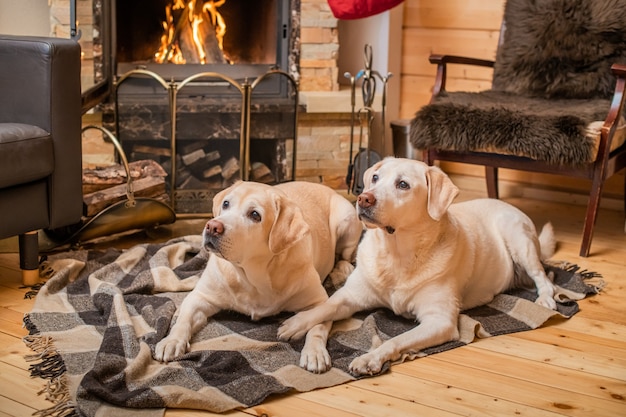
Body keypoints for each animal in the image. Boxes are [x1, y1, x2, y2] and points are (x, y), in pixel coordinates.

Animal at [152, 180, 360, 372]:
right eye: (226, 204)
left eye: (254, 215)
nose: (212, 226)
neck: (253, 275)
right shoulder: (200, 297)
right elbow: (182, 320)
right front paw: (171, 341)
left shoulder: (320, 301)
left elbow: (316, 324)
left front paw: (314, 352)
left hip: (347, 221)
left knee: (346, 256)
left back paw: (343, 270)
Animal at [278, 158, 556, 376]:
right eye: (375, 178)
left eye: (403, 185)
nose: (364, 198)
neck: (396, 254)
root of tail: (506, 204)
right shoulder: (350, 295)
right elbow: (324, 309)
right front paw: (297, 327)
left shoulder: (440, 320)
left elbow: (396, 340)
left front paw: (369, 358)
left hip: (519, 240)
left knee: (543, 276)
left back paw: (546, 299)